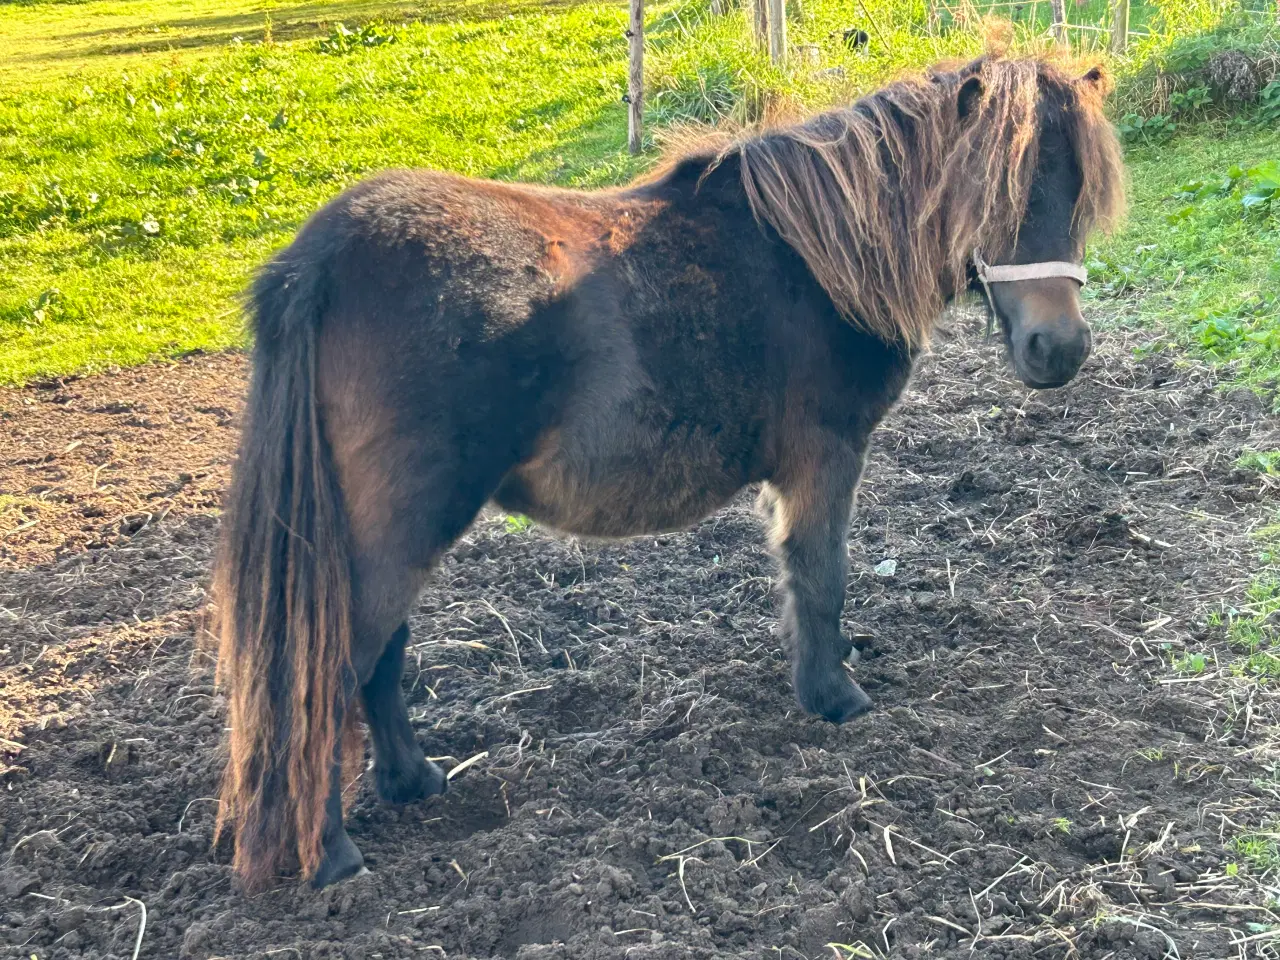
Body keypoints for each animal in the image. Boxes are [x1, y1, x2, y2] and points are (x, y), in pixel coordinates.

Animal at [215, 56, 1126, 890]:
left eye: (1080, 192)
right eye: (998, 193)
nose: (1059, 350)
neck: (813, 259)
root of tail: (318, 262)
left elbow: (799, 581)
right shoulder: (826, 458)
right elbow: (822, 575)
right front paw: (835, 698)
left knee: (379, 658)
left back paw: (412, 783)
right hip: (404, 526)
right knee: (331, 669)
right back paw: (332, 858)